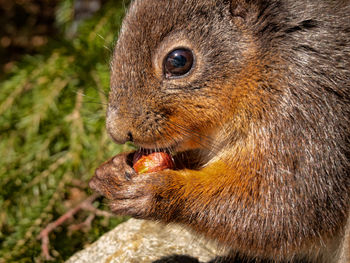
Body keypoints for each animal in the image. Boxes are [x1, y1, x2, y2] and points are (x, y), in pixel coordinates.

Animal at [89, 1, 350, 262]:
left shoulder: (310, 113)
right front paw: (113, 169)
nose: (116, 132)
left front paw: (160, 191)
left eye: (178, 61)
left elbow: (282, 207)